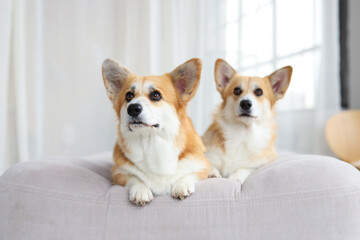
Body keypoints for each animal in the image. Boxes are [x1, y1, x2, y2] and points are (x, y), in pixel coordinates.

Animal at [101, 57, 211, 205]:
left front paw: (182, 185)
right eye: (129, 96)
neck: (151, 141)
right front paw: (140, 190)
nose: (133, 108)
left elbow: (189, 174)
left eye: (155, 95)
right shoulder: (118, 173)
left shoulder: (202, 166)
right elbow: (134, 178)